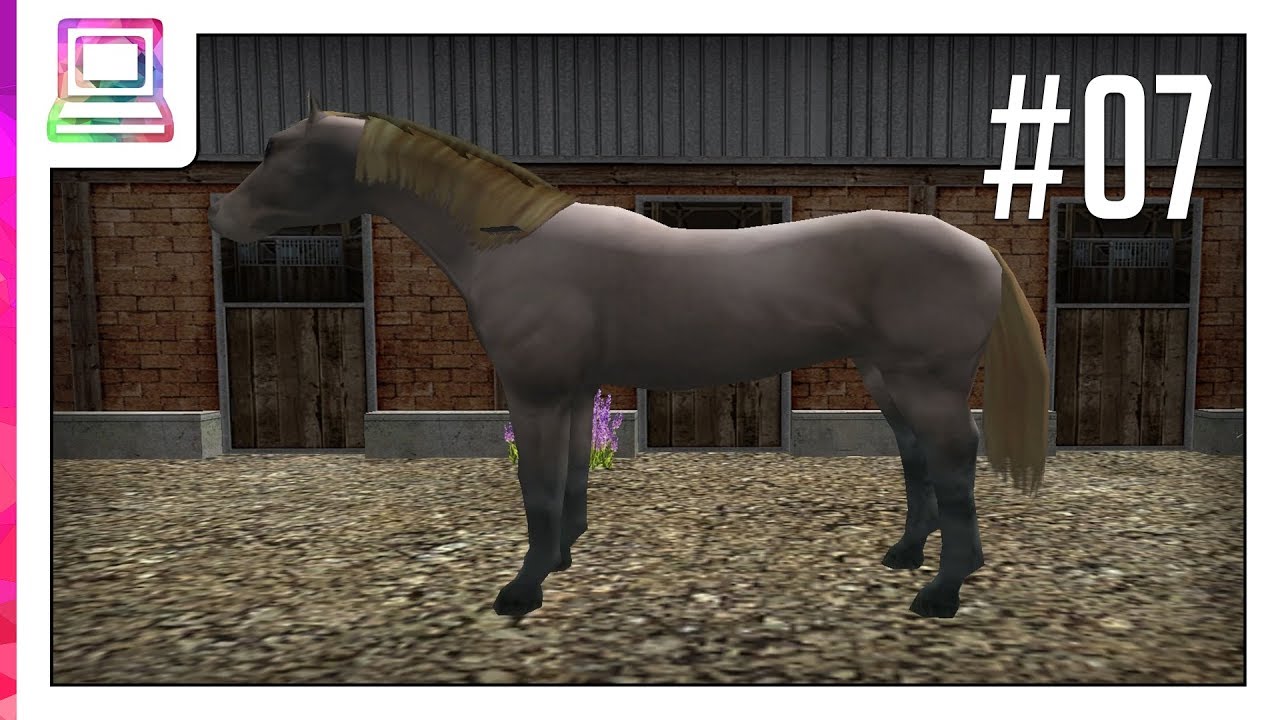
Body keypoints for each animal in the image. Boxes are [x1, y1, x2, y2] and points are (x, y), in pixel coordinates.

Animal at [209, 98, 1050, 620]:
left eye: (280, 154)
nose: (222, 215)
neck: (511, 244)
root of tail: (978, 247)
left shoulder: (536, 393)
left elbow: (538, 486)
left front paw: (521, 591)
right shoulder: (576, 392)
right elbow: (573, 476)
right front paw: (561, 560)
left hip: (924, 381)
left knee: (954, 457)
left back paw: (943, 591)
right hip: (886, 378)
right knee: (918, 459)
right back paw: (906, 557)